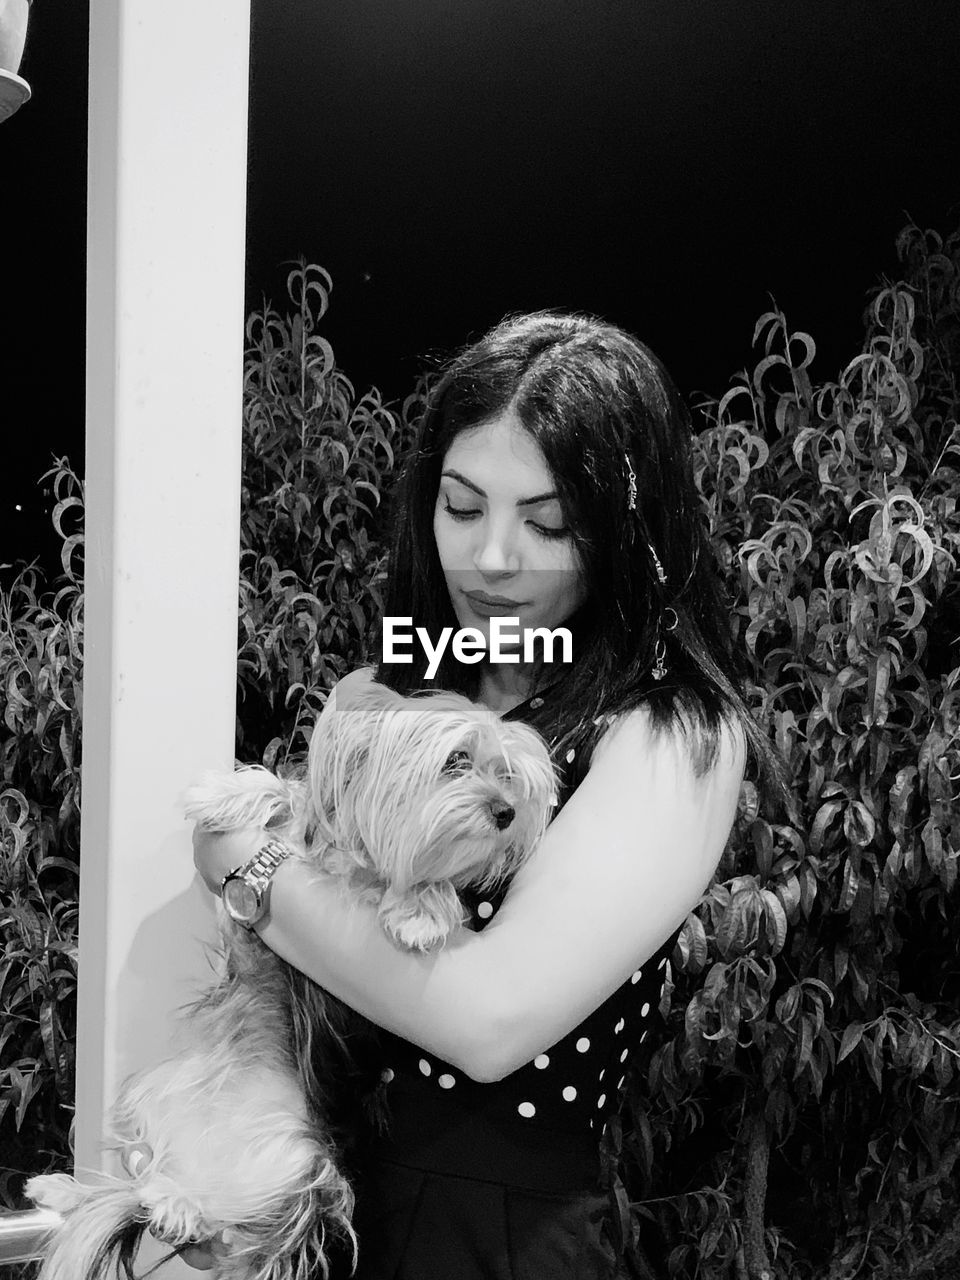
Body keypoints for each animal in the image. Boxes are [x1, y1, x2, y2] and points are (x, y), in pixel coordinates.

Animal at [28, 680, 555, 1280]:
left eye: (507, 774)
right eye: (457, 760)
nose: (507, 812)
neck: (351, 853)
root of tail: (202, 1160)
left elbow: (425, 884)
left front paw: (420, 910)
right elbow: (278, 786)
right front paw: (220, 793)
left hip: (297, 1161)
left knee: (217, 1216)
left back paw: (177, 1206)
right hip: (154, 1091)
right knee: (140, 1180)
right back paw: (69, 1191)